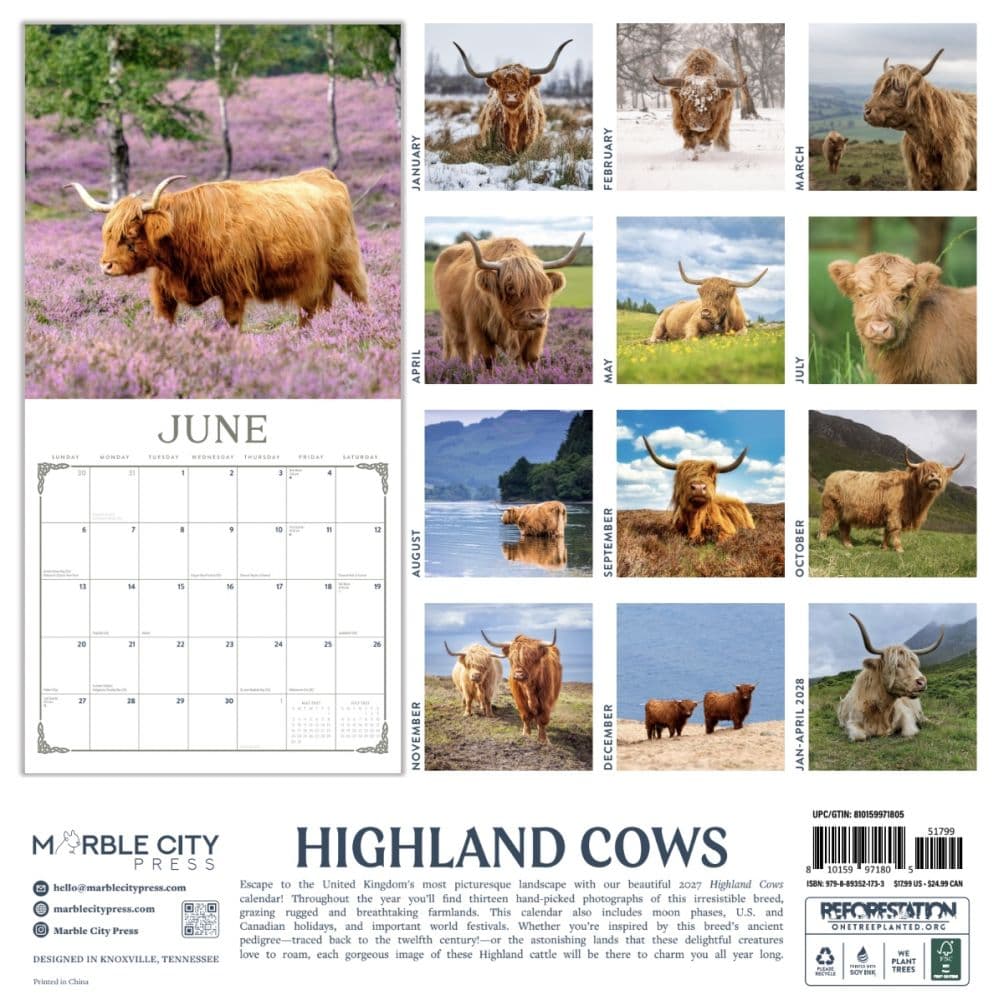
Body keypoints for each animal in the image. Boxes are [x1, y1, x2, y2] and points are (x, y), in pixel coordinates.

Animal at [66, 169, 368, 329]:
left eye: (130, 234)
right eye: (106, 233)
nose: (106, 265)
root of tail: (321, 174)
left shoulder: (234, 288)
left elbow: (232, 324)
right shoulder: (163, 291)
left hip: (346, 264)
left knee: (359, 298)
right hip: (319, 281)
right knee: (317, 310)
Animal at [433, 232, 584, 369]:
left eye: (545, 288)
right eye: (510, 288)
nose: (538, 316)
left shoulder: (537, 334)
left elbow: (531, 359)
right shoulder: (478, 328)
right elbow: (488, 361)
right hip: (455, 324)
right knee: (463, 350)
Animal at [818, 450, 965, 552]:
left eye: (941, 472)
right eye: (923, 471)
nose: (934, 476)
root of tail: (833, 475)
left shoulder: (888, 514)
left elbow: (887, 532)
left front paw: (884, 547)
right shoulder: (895, 513)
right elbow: (894, 529)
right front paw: (899, 549)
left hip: (847, 512)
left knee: (843, 526)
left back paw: (848, 545)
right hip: (831, 506)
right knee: (826, 521)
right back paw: (822, 540)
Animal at [837, 613, 943, 741]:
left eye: (915, 664)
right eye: (896, 665)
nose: (922, 682)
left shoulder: (907, 715)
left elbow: (909, 732)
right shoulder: (851, 723)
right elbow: (860, 736)